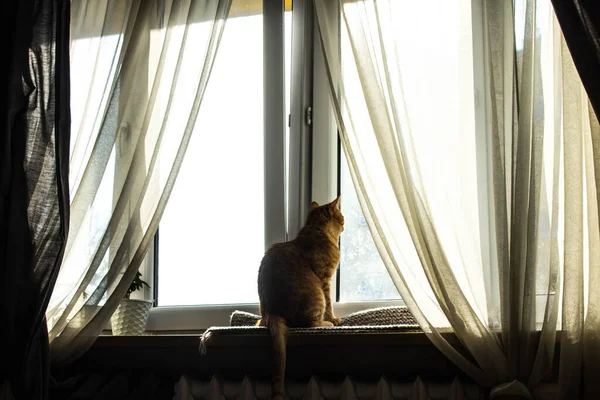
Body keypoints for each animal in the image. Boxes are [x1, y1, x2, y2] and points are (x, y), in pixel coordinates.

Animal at [256, 197, 342, 400]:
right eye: (341, 216)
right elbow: (330, 305)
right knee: (310, 322)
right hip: (316, 295)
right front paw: (334, 318)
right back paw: (327, 323)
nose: (345, 222)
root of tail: (272, 311)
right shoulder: (325, 279)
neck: (316, 230)